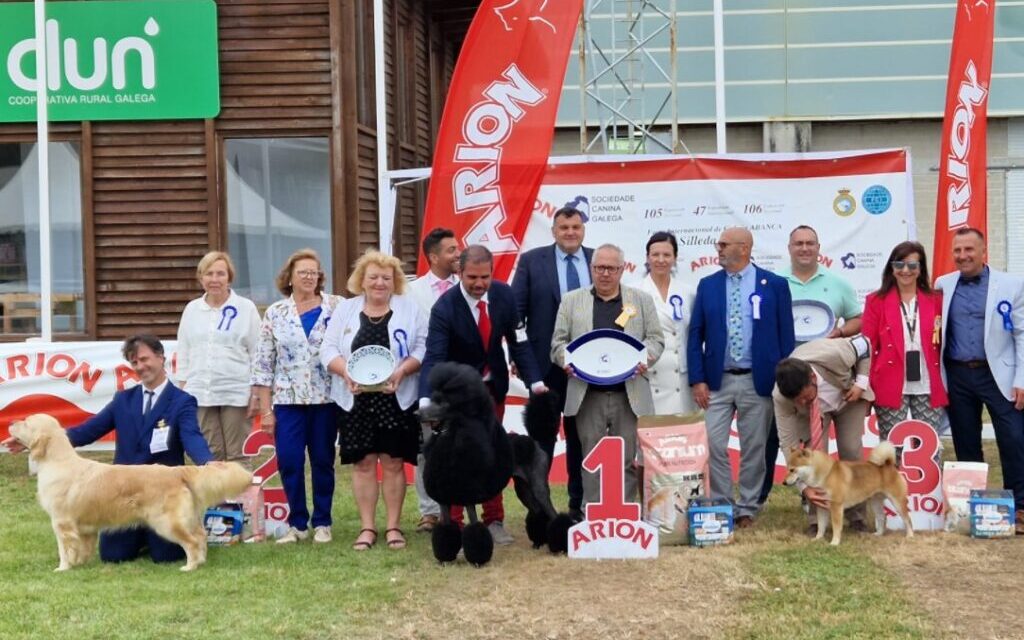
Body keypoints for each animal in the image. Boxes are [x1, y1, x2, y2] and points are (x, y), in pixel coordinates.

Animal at [782, 442, 913, 544]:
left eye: (792, 470)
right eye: (787, 468)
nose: (784, 482)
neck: (826, 474)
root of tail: (889, 465)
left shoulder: (836, 506)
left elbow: (836, 527)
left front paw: (834, 543)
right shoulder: (821, 506)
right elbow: (821, 526)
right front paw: (817, 538)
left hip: (897, 501)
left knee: (907, 519)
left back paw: (910, 536)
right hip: (875, 501)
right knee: (882, 517)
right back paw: (878, 534)